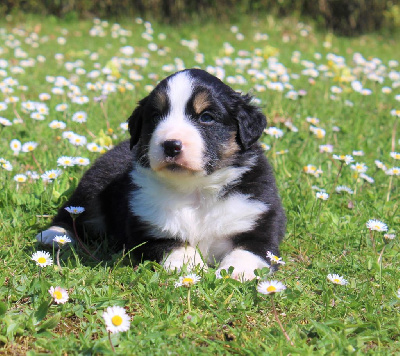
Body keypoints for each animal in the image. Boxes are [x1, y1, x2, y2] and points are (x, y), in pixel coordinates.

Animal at [36, 69, 286, 280]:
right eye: (156, 116)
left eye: (206, 117)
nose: (171, 145)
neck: (195, 190)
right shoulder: (149, 229)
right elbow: (177, 247)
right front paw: (193, 269)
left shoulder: (258, 219)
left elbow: (250, 251)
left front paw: (234, 273)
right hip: (94, 186)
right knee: (74, 211)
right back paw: (54, 235)